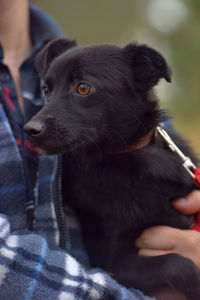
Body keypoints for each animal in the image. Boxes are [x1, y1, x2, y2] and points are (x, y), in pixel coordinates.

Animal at [24, 38, 199, 298]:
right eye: (47, 90)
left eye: (83, 88)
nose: (29, 130)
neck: (127, 158)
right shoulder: (112, 264)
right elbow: (179, 264)